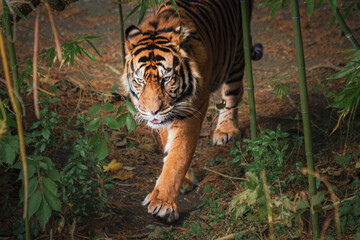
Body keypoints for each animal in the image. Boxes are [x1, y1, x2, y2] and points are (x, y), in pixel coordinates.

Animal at [121, 0, 262, 222]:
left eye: (166, 79)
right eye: (140, 81)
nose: (152, 112)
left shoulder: (189, 112)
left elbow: (178, 155)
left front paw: (162, 203)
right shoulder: (165, 117)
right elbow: (169, 148)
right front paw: (184, 180)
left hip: (238, 51)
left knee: (232, 93)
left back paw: (226, 130)